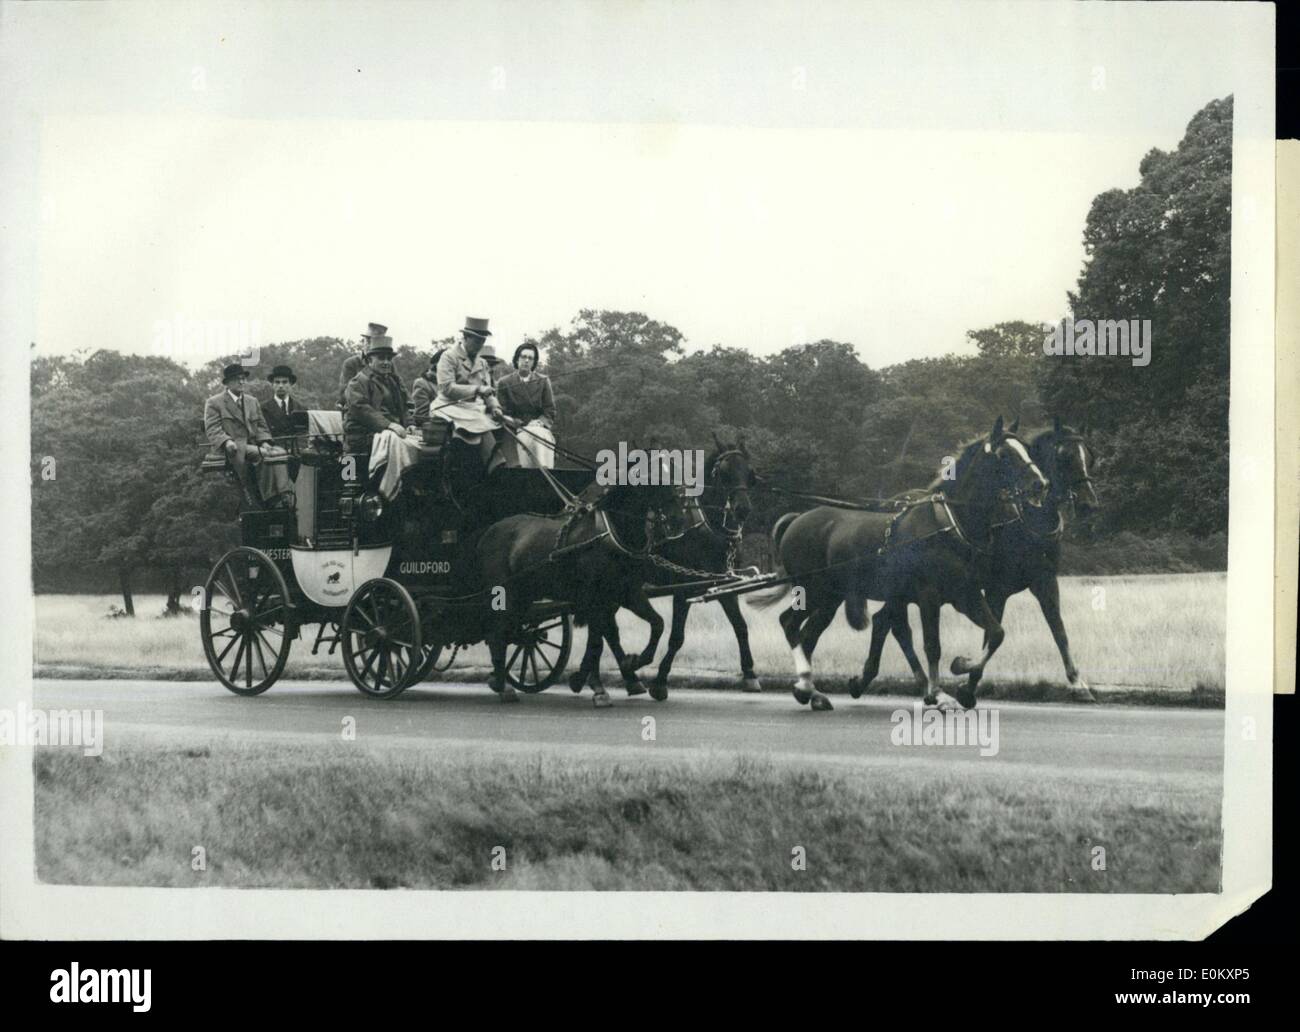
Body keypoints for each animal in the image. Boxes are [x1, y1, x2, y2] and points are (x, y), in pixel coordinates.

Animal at [475, 475, 686, 701]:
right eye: (656, 481)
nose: (679, 520)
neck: (608, 537)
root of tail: (488, 532)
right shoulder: (594, 599)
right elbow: (597, 642)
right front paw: (597, 687)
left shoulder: (627, 593)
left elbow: (656, 623)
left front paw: (633, 662)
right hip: (505, 594)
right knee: (497, 632)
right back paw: (502, 684)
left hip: (524, 595)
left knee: (507, 632)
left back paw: (499, 680)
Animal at [754, 415, 1045, 707]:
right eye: (1004, 455)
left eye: (1027, 450)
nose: (1040, 484)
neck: (947, 525)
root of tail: (797, 520)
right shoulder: (928, 596)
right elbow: (932, 645)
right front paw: (939, 693)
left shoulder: (965, 595)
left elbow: (996, 634)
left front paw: (962, 667)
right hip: (813, 591)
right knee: (790, 624)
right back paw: (805, 683)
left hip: (830, 598)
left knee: (808, 635)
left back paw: (811, 691)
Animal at [857, 415, 1102, 701]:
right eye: (1065, 456)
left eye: (1090, 456)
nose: (1089, 504)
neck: (1024, 521)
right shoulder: (996, 589)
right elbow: (991, 635)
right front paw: (968, 680)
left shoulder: (1045, 582)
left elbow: (1059, 631)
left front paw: (1077, 682)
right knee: (890, 623)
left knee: (884, 621)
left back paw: (874, 678)